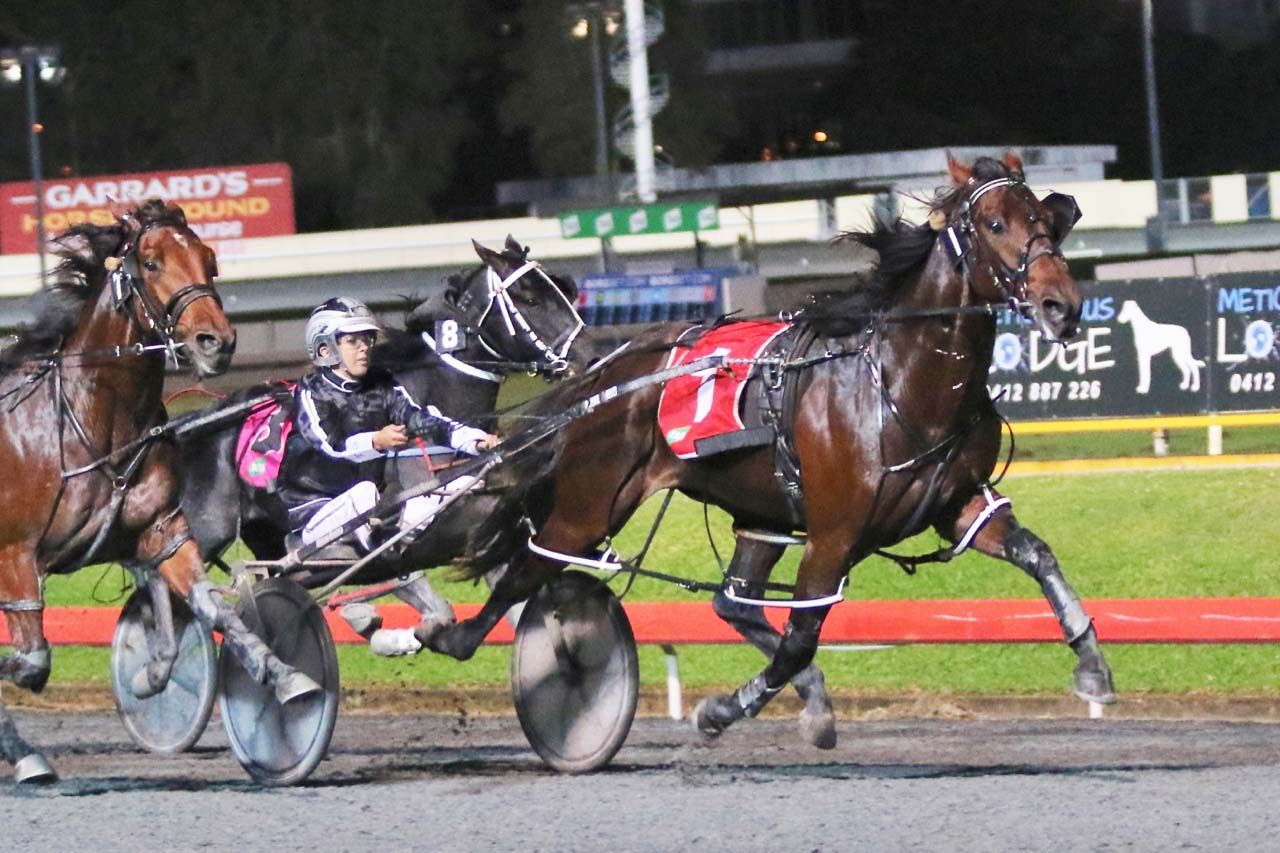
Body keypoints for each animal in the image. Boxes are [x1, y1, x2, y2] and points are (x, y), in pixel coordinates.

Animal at [0, 197, 318, 778]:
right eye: (150, 263)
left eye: (210, 259)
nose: (216, 341)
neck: (93, 422)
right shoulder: (15, 555)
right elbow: (32, 662)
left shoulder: (164, 532)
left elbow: (215, 608)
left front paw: (284, 677)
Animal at [437, 153, 1111, 742]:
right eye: (995, 223)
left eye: (1048, 219)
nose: (1061, 305)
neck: (899, 380)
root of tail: (609, 368)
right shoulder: (834, 532)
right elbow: (799, 640)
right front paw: (721, 711)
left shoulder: (959, 502)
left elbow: (1037, 555)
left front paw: (1092, 665)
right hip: (589, 507)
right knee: (525, 570)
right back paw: (448, 635)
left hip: (759, 514)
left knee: (732, 602)